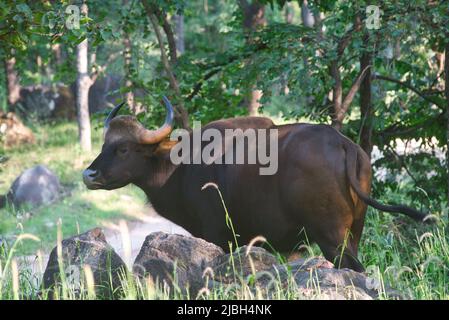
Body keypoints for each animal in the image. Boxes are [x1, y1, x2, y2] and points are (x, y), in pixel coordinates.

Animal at [82, 97, 426, 270]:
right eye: (104, 144)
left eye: (123, 148)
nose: (89, 175)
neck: (182, 168)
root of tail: (343, 144)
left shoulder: (220, 237)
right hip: (355, 230)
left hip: (331, 236)